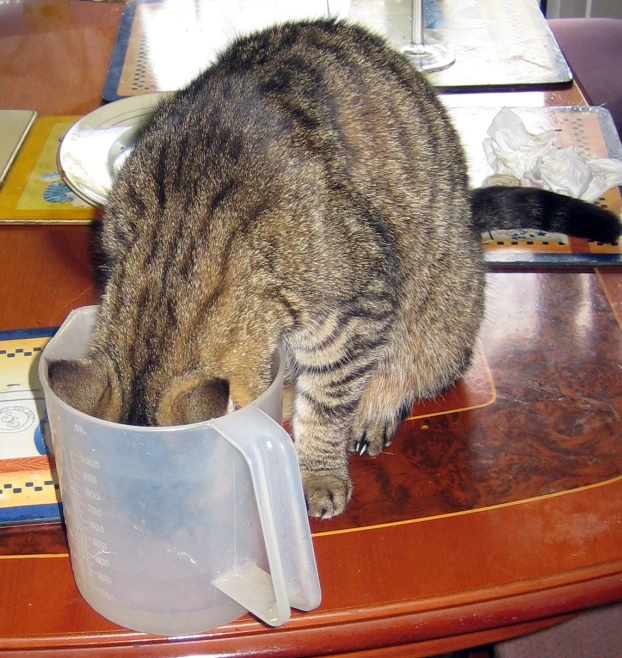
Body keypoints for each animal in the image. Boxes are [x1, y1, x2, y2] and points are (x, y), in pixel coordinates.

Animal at [50, 19, 622, 516]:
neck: (179, 246)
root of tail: (467, 209)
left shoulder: (357, 310)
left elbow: (326, 405)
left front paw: (317, 472)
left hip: (442, 310)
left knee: (415, 369)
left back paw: (375, 409)